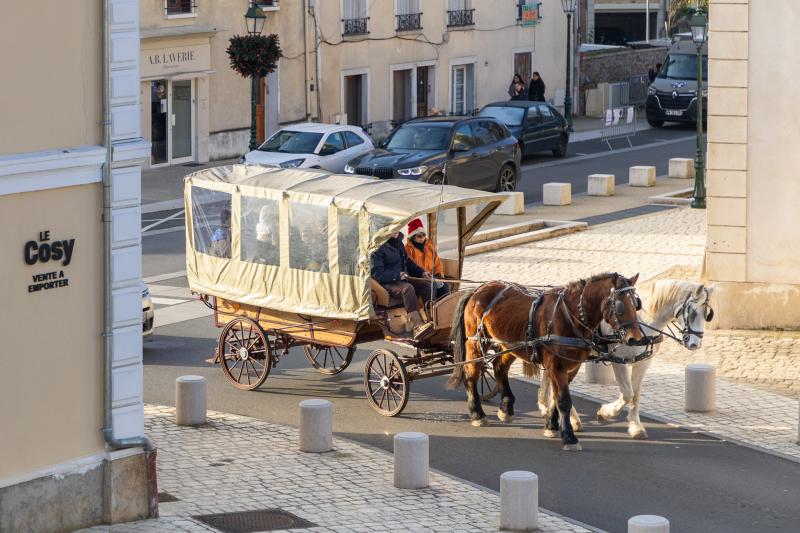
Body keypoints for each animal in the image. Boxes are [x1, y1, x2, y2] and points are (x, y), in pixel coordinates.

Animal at [450, 272, 644, 450]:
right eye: (620, 306)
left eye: (636, 304)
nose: (635, 338)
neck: (570, 316)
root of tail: (478, 289)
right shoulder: (556, 366)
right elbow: (563, 400)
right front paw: (569, 437)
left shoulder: (570, 368)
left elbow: (555, 398)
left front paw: (551, 425)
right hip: (476, 343)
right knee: (471, 374)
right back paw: (477, 414)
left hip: (510, 346)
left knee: (499, 368)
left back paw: (506, 408)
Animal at [540, 280, 716, 438]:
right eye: (693, 312)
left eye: (707, 315)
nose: (695, 344)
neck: (642, 321)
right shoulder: (619, 360)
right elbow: (627, 394)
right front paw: (606, 413)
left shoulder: (644, 362)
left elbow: (635, 393)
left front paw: (636, 426)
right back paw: (567, 418)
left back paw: (550, 409)